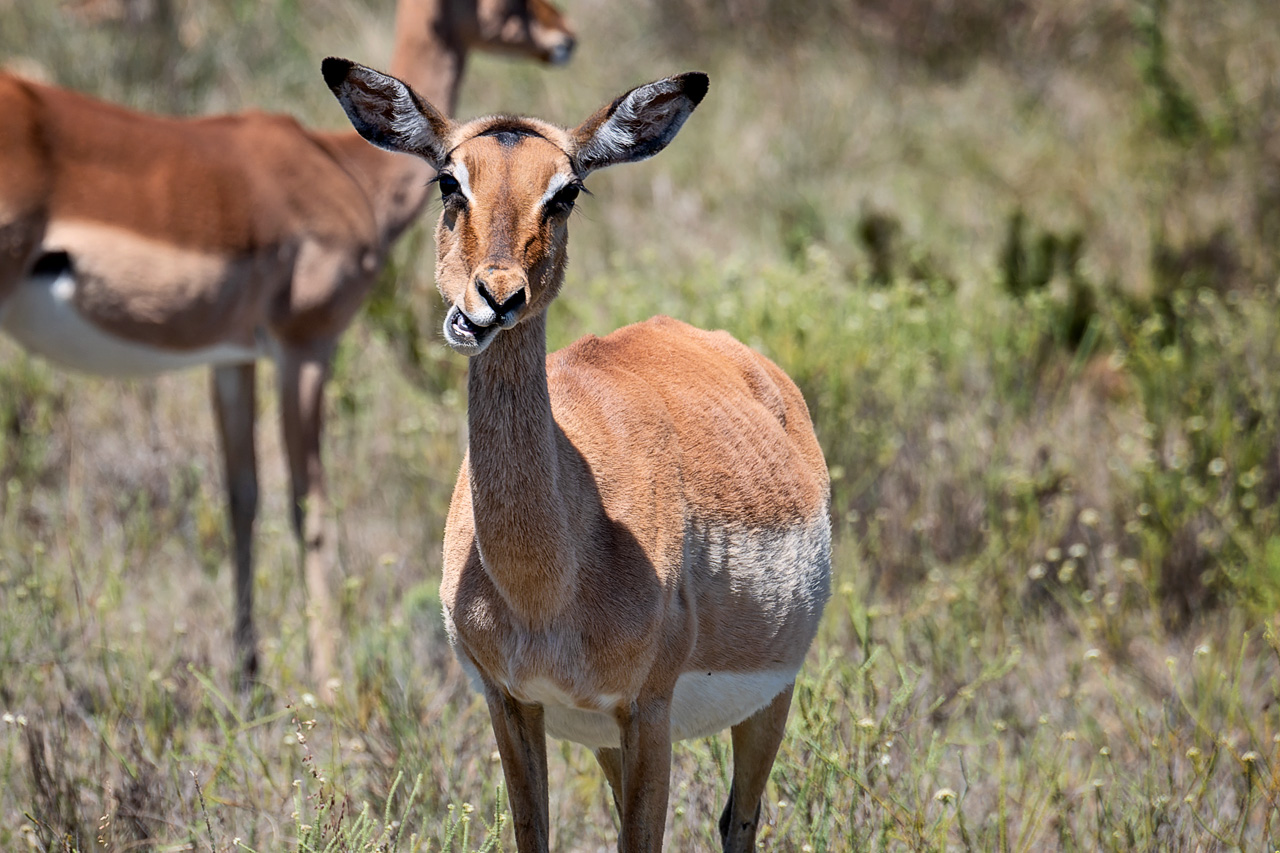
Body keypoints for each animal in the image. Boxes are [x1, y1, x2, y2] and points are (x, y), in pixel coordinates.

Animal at [0, 0, 575, 699]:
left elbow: (242, 499)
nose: (563, 37)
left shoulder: (233, 358)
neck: (346, 169)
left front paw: (247, 675)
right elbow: (311, 509)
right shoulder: (305, 348)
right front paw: (326, 683)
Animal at [324, 59, 832, 851]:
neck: (548, 578)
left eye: (565, 191)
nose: (493, 299)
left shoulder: (647, 708)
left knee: (739, 819)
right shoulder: (513, 703)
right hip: (604, 739)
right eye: (449, 180)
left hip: (770, 696)